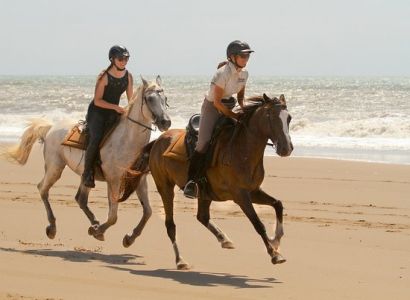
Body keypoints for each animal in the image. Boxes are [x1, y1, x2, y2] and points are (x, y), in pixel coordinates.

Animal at [5, 76, 171, 243]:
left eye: (165, 98)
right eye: (150, 99)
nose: (166, 122)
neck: (127, 140)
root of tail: (51, 128)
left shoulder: (139, 179)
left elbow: (148, 211)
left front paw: (129, 238)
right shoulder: (114, 180)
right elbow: (113, 217)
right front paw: (98, 231)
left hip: (85, 176)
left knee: (80, 199)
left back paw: (94, 223)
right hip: (55, 168)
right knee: (42, 189)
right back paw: (53, 227)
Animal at [120, 93, 294, 270]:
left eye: (289, 118)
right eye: (270, 116)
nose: (286, 148)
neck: (242, 150)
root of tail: (158, 141)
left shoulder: (253, 191)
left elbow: (278, 204)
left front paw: (276, 239)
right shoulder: (241, 196)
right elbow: (258, 224)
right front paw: (274, 254)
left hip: (204, 193)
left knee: (202, 217)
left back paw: (224, 239)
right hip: (165, 187)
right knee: (170, 225)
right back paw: (180, 260)